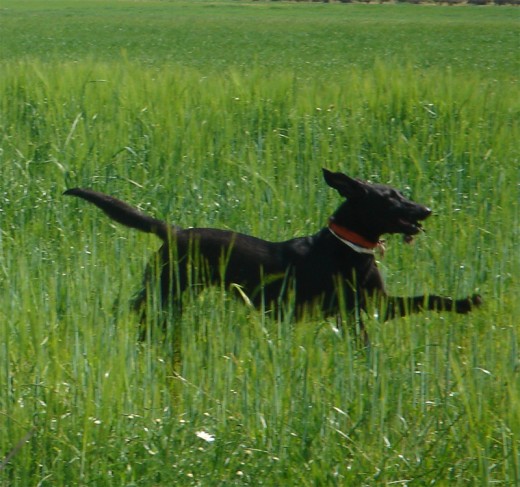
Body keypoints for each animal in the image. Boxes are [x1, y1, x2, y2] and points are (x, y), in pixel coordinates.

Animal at [64, 171, 480, 344]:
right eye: (390, 198)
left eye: (402, 193)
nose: (426, 210)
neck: (348, 248)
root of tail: (175, 230)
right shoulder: (356, 308)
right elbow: (421, 301)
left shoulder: (376, 305)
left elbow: (427, 298)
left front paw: (463, 303)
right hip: (166, 289)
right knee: (136, 309)